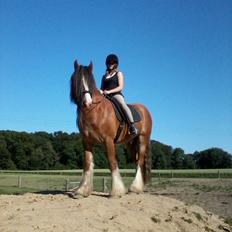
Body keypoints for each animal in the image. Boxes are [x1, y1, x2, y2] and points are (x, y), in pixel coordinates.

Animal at [69, 59, 152, 198]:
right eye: (75, 79)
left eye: (90, 81)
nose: (87, 103)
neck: (94, 111)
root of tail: (144, 109)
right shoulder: (86, 141)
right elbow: (87, 163)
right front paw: (82, 191)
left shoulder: (108, 140)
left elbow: (112, 162)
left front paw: (116, 191)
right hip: (130, 143)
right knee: (136, 161)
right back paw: (136, 187)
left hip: (143, 139)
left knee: (140, 161)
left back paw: (135, 188)